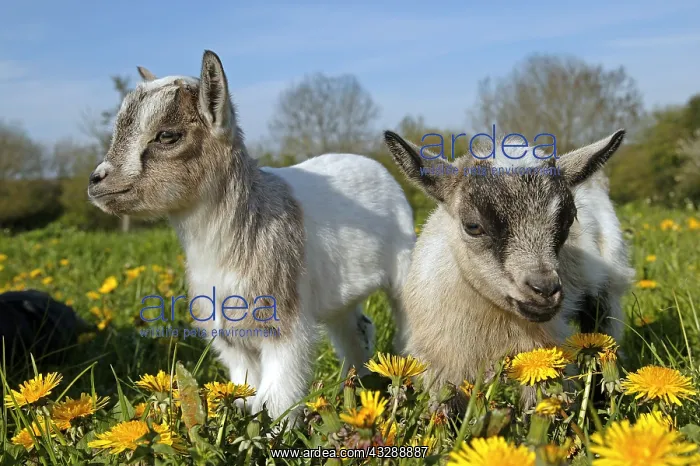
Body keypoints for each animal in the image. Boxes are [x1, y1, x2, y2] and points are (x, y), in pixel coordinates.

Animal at [87, 50, 415, 421]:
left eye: (167, 135)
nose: (96, 181)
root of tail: (373, 165)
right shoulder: (227, 333)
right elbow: (247, 386)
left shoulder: (283, 321)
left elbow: (278, 398)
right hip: (338, 296)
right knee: (356, 328)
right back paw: (356, 382)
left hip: (404, 266)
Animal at [383, 129, 634, 406]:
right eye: (473, 226)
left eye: (568, 221)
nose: (545, 290)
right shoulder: (442, 364)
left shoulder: (540, 354)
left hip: (609, 289)